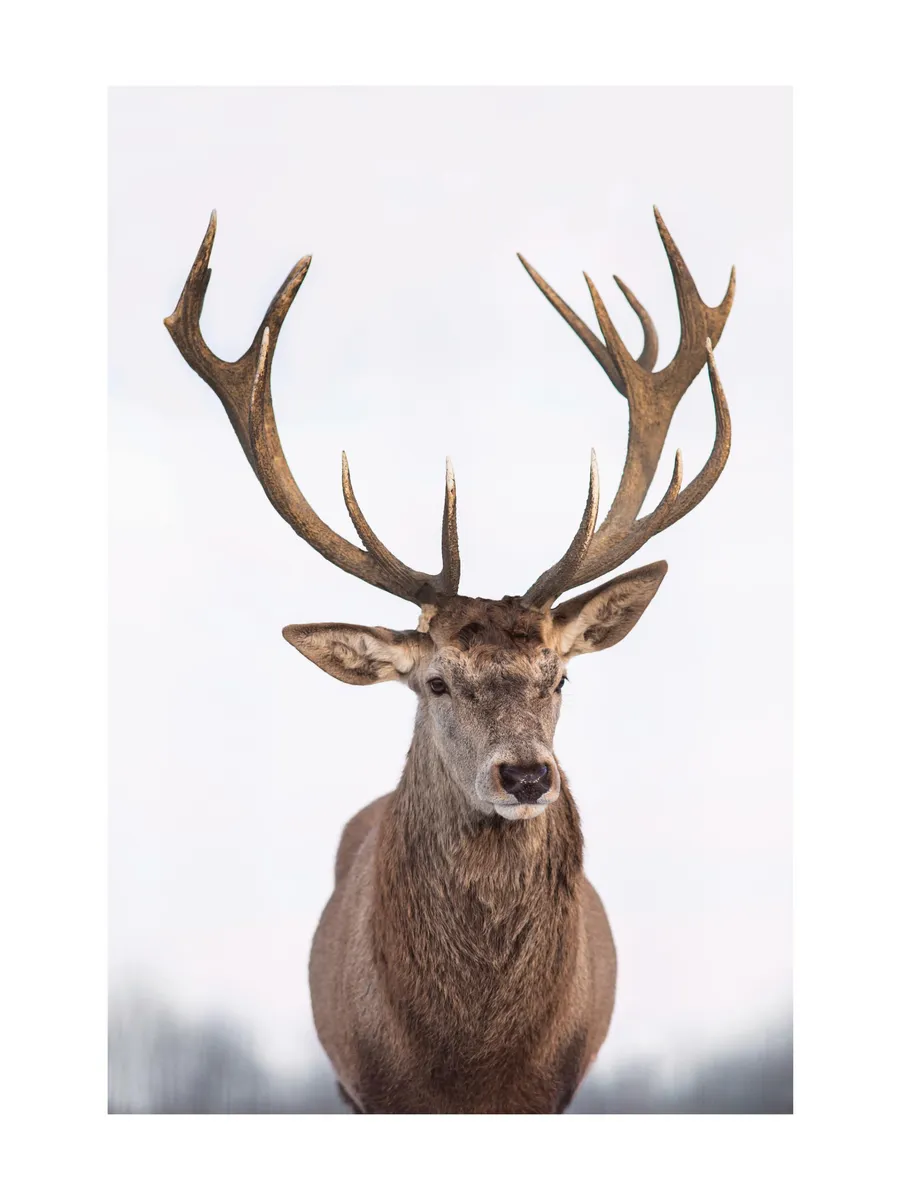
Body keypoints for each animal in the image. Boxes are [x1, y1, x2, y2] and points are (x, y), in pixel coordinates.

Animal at [164, 208, 734, 1114]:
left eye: (560, 677)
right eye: (435, 682)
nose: (526, 775)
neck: (470, 1063)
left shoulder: (555, 1087)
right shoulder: (371, 1083)